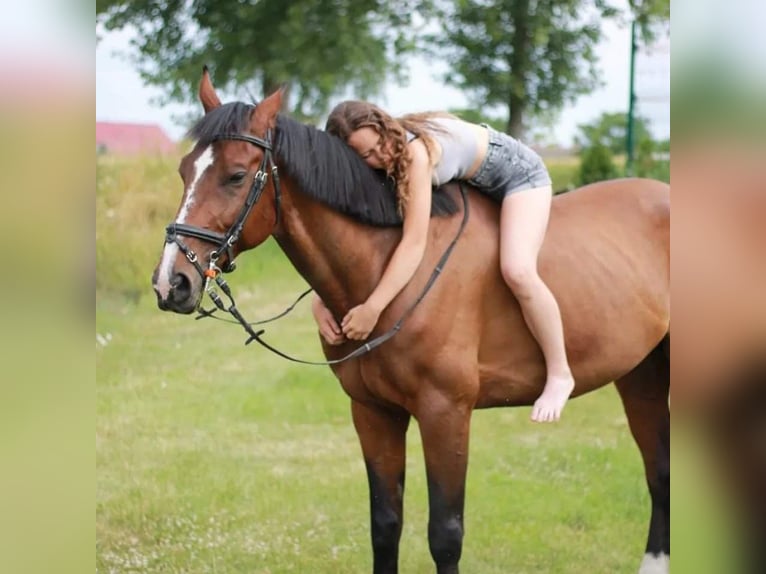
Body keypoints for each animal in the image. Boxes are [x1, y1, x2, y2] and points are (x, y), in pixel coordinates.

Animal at [153, 71, 668, 574]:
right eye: (183, 171)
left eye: (236, 175)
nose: (170, 283)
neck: (388, 273)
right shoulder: (373, 412)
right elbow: (385, 525)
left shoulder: (446, 414)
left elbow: (445, 535)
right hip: (639, 375)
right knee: (658, 472)